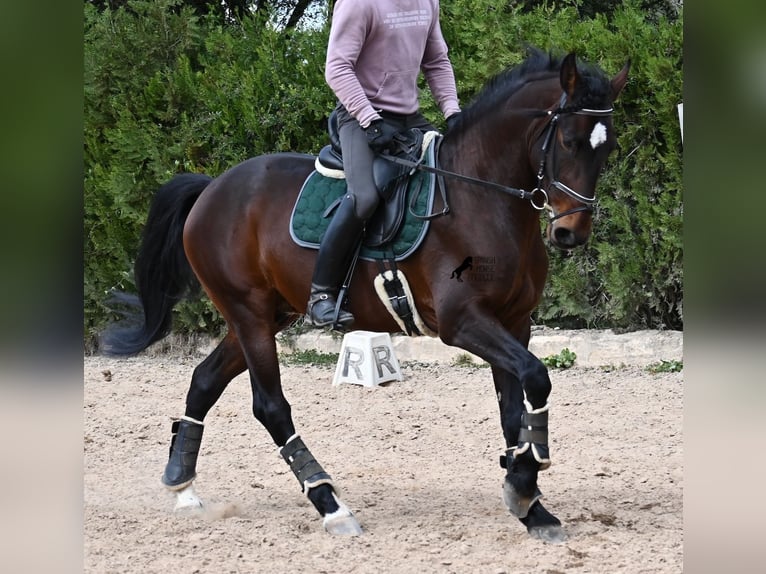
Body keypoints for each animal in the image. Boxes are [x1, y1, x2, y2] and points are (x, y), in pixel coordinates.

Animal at [102, 46, 632, 544]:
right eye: (567, 141)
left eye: (607, 149)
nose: (570, 233)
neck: (481, 198)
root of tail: (213, 187)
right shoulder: (464, 322)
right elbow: (536, 377)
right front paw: (525, 482)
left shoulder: (514, 321)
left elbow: (513, 408)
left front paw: (529, 501)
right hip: (248, 314)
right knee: (270, 406)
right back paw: (330, 504)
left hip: (265, 315)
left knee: (205, 380)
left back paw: (183, 484)